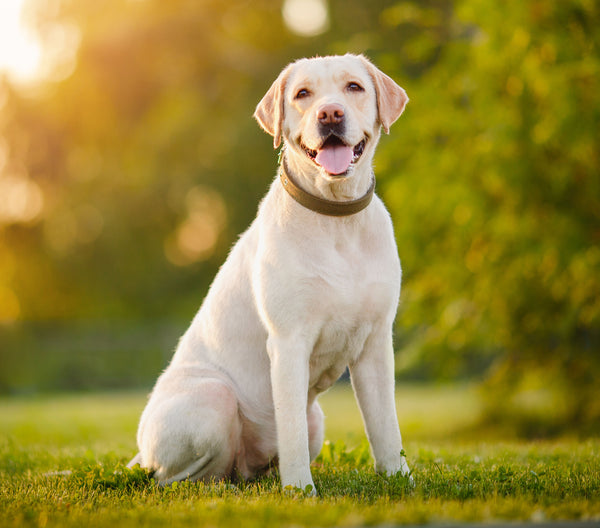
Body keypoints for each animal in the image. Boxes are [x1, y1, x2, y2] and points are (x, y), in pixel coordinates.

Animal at [128, 53, 410, 496]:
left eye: (354, 87)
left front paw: (400, 479)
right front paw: (299, 491)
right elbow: (289, 428)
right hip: (213, 398)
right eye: (302, 94)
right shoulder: (289, 342)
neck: (337, 220)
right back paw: (216, 490)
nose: (330, 114)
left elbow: (386, 428)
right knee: (177, 477)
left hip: (317, 421)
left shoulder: (375, 344)